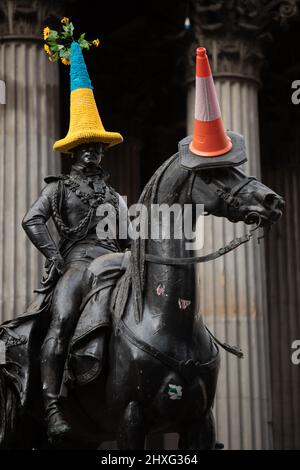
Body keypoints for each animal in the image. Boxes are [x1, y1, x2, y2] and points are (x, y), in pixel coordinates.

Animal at [0, 151, 284, 448]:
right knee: (57, 335)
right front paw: (55, 262)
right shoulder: (131, 416)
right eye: (213, 172)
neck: (163, 319)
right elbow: (33, 218)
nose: (271, 200)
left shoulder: (201, 420)